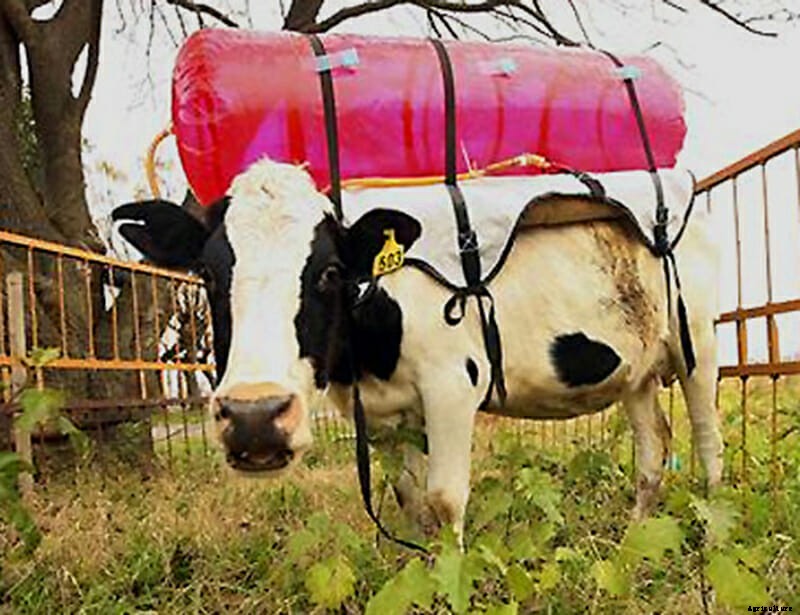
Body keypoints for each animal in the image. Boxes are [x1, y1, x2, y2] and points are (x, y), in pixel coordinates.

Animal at [113, 158, 723, 539]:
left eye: (330, 272)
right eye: (208, 274)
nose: (255, 417)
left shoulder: (452, 387)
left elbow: (444, 499)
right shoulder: (383, 416)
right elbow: (409, 500)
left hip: (698, 341)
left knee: (706, 438)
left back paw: (716, 534)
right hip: (635, 369)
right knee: (652, 448)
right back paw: (634, 538)